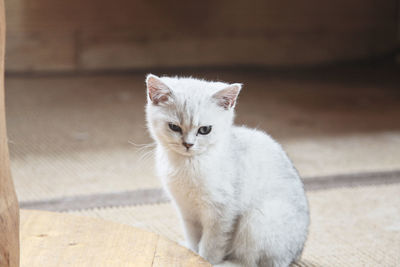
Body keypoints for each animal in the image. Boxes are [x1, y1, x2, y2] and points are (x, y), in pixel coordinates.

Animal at [146, 75, 310, 267]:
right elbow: (194, 238)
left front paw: (205, 261)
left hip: (257, 221)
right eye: (174, 127)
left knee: (249, 262)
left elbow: (211, 245)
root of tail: (296, 253)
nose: (188, 144)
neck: (188, 164)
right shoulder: (187, 212)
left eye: (204, 130)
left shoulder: (221, 212)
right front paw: (191, 254)